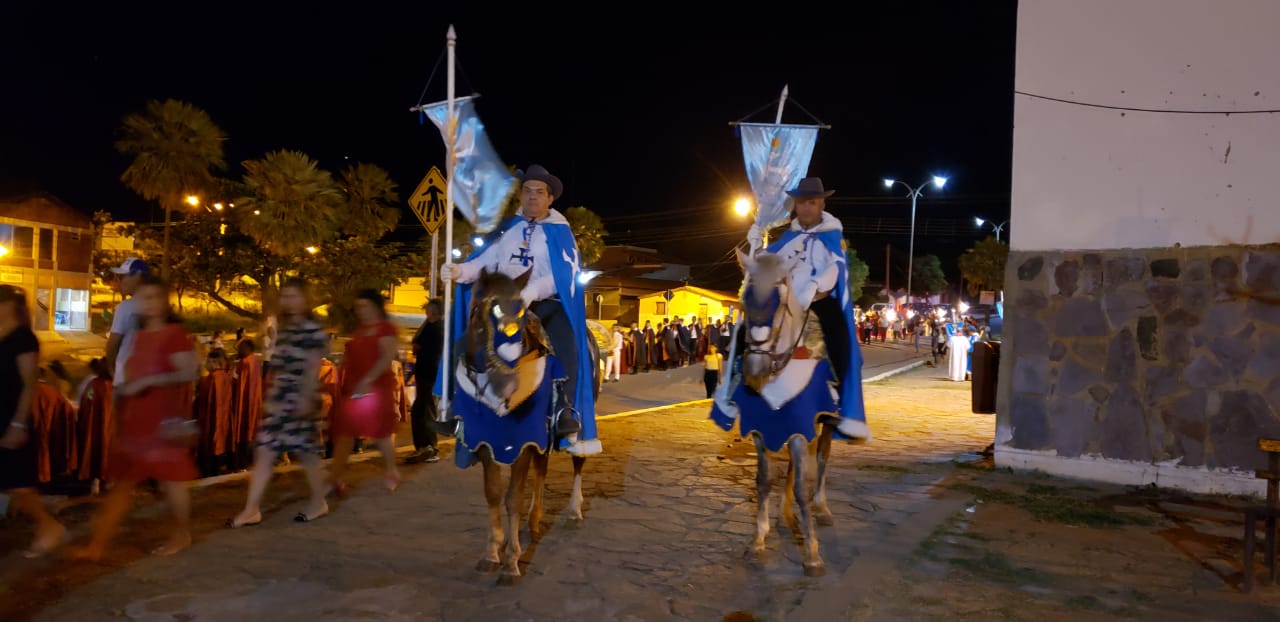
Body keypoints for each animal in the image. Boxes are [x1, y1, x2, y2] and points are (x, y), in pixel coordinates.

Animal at [450, 267, 599, 583]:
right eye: (483, 311)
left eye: (519, 313)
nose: (506, 384)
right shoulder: (487, 441)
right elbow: (493, 493)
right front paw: (492, 551)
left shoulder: (522, 442)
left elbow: (513, 498)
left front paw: (511, 562)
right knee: (542, 467)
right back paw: (534, 520)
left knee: (578, 461)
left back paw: (573, 512)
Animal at [711, 249, 839, 578]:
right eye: (744, 300)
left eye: (780, 303)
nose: (755, 368)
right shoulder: (763, 430)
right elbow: (764, 481)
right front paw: (758, 539)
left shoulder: (801, 428)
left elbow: (802, 485)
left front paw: (812, 554)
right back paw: (786, 513)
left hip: (827, 421)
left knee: (822, 458)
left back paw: (821, 508)